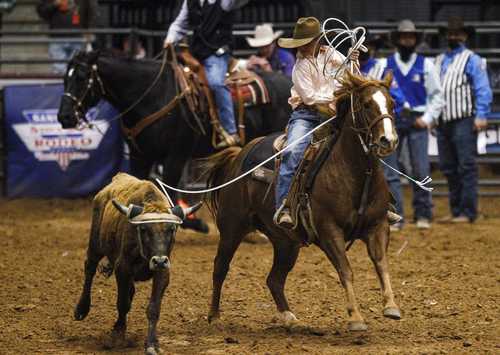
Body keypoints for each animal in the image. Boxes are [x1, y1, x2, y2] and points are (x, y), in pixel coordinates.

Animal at [57, 50, 292, 234]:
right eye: (65, 79)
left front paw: (195, 224)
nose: (64, 116)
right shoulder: (139, 155)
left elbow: (170, 193)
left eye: (81, 77)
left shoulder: (175, 156)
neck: (153, 95)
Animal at [74, 173, 199, 355]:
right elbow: (122, 303)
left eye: (171, 229)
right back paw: (81, 308)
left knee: (130, 290)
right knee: (89, 268)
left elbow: (153, 308)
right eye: (145, 229)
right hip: (95, 243)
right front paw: (118, 335)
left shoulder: (163, 272)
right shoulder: (122, 268)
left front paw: (152, 344)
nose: (159, 261)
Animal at [201, 71, 400, 332]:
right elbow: (345, 270)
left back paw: (288, 316)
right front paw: (356, 317)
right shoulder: (328, 231)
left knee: (274, 279)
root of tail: (241, 154)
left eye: (392, 103)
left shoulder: (378, 225)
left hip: (286, 242)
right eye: (366, 104)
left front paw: (391, 306)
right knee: (220, 268)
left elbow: (381, 263)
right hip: (232, 227)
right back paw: (214, 316)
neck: (355, 172)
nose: (389, 140)